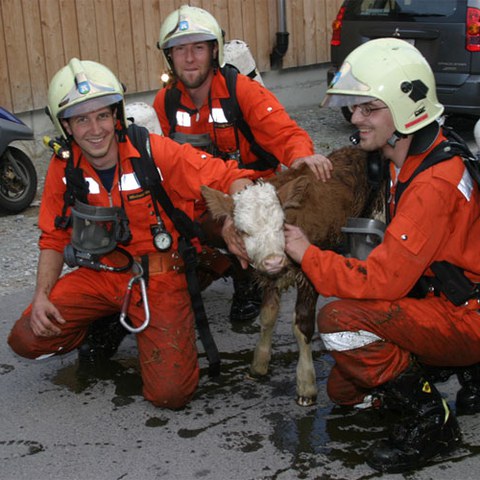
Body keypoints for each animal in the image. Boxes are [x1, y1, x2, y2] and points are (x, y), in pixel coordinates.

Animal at [202, 145, 382, 404]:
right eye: (243, 231)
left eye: (281, 224)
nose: (273, 260)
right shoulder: (269, 277)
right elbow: (268, 316)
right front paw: (259, 364)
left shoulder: (310, 274)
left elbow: (302, 325)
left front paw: (306, 385)